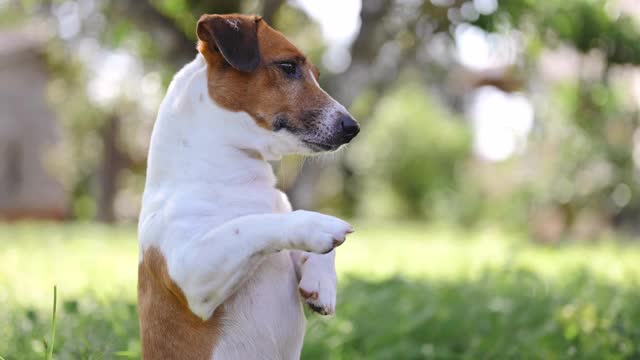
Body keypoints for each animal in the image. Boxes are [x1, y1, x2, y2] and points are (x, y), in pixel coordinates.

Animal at [138, 12, 360, 358]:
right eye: (287, 67)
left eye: (316, 75)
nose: (353, 127)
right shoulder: (190, 270)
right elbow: (251, 224)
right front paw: (318, 225)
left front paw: (322, 283)